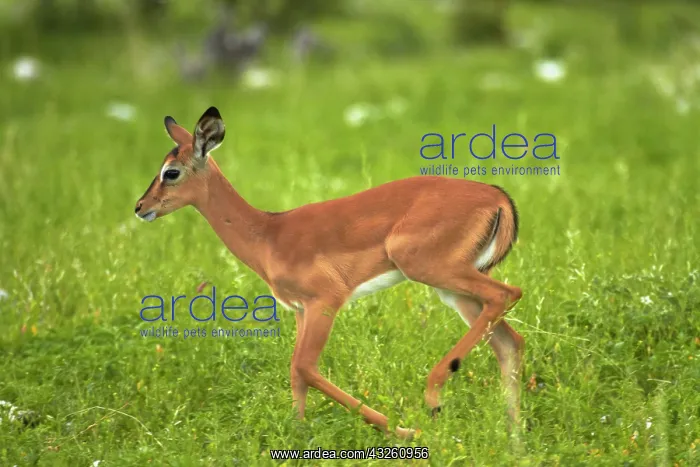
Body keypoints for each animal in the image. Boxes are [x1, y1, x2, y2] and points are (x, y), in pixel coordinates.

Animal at [135, 107, 524, 438]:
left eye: (171, 172)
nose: (140, 207)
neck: (268, 233)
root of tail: (497, 197)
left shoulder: (326, 301)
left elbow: (305, 367)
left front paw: (400, 429)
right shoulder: (300, 310)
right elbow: (295, 372)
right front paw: (297, 432)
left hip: (434, 271)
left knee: (508, 294)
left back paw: (433, 400)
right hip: (455, 291)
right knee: (509, 341)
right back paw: (512, 438)